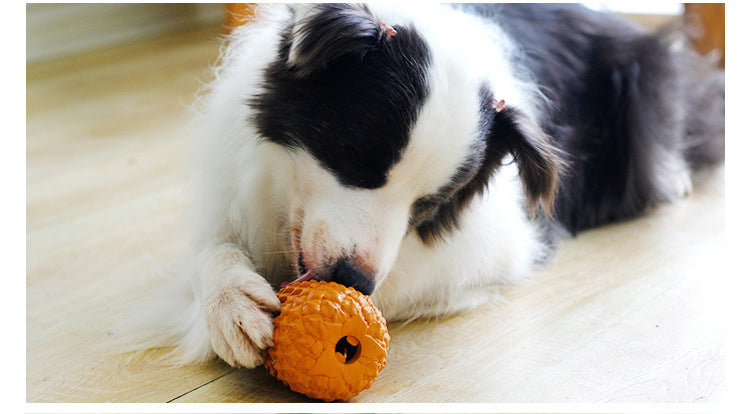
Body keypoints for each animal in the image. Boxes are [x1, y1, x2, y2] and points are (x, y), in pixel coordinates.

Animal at [125, 4, 728, 368]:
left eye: (429, 205)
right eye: (358, 158)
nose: (353, 280)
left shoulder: (498, 244)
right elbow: (211, 250)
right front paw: (232, 307)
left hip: (639, 83)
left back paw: (675, 176)